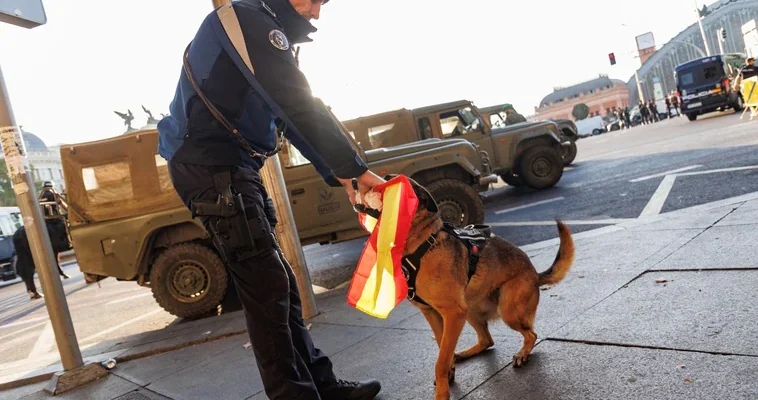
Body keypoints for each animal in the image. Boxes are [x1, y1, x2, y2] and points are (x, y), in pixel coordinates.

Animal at [386, 180, 576, 398]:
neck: (421, 242)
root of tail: (535, 275)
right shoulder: (434, 313)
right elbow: (442, 348)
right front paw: (448, 372)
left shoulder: (453, 313)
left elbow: (440, 359)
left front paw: (442, 391)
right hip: (470, 311)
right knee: (487, 340)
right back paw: (462, 354)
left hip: (507, 311)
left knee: (531, 335)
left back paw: (522, 354)